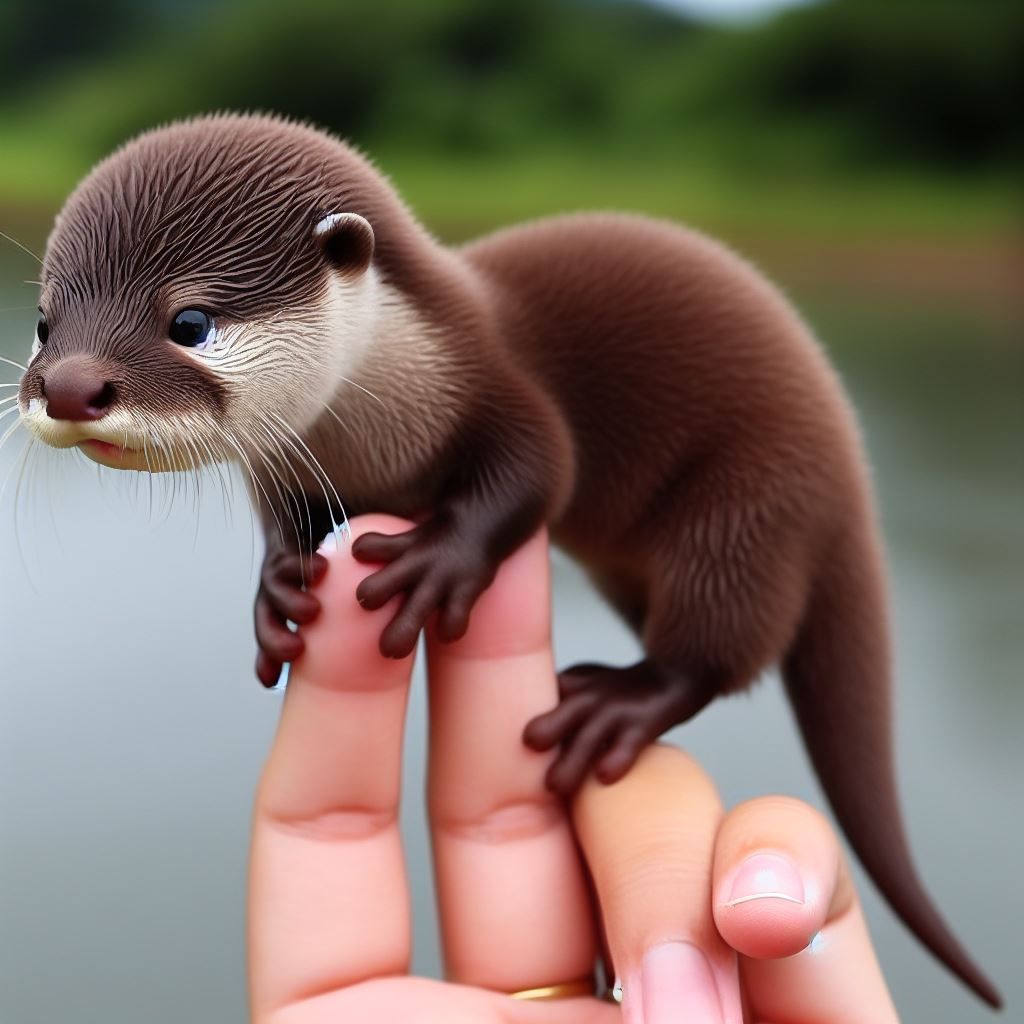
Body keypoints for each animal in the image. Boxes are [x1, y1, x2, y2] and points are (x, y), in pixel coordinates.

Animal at [14, 113, 1000, 1008]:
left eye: (190, 321)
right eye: (43, 321)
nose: (67, 386)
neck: (380, 423)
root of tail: (849, 465)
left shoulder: (501, 388)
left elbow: (539, 470)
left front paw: (433, 566)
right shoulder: (289, 461)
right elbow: (285, 524)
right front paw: (277, 595)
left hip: (749, 510)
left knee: (717, 647)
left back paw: (615, 702)